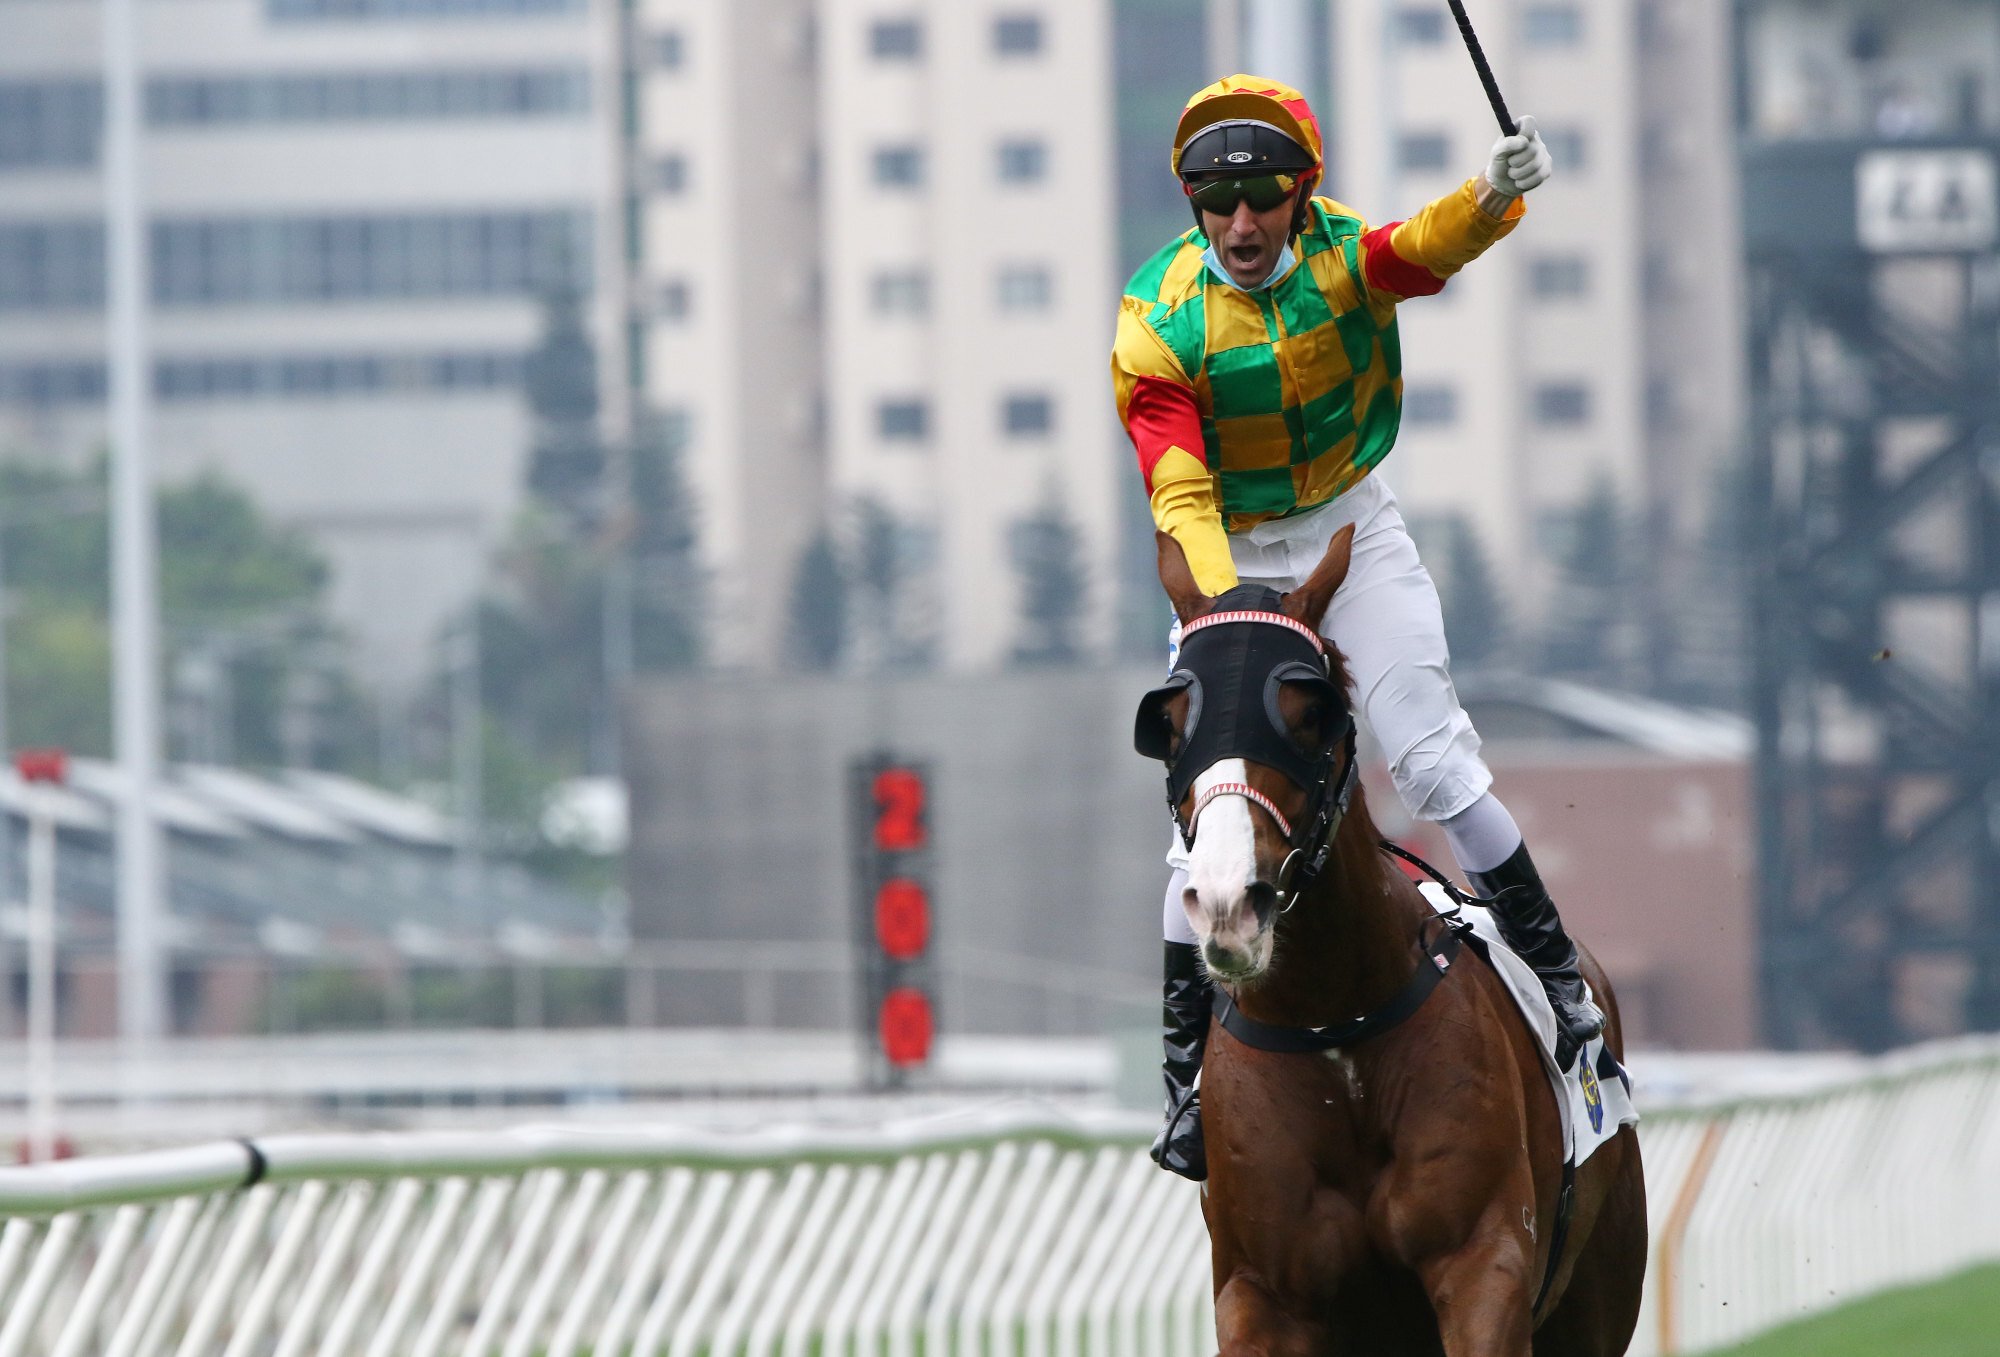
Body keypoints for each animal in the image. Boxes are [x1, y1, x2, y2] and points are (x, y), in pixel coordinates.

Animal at [1136, 524, 1648, 1352]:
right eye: (1174, 724)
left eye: (1307, 713)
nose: (1227, 902)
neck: (1331, 1024)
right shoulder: (1259, 1294)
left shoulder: (1482, 1266)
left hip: (1595, 1299)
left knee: (1440, 769)